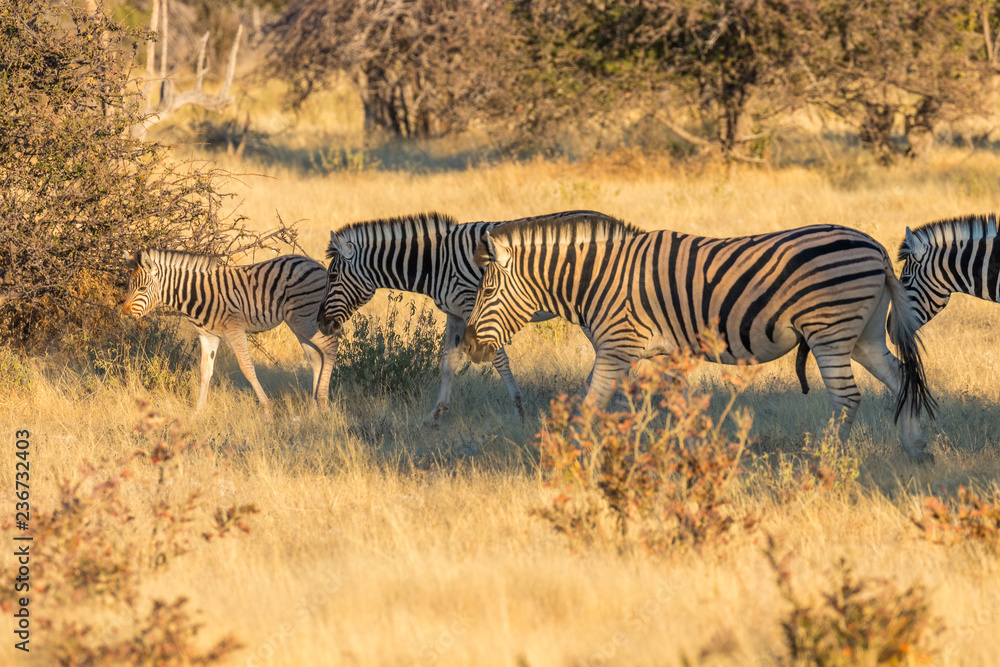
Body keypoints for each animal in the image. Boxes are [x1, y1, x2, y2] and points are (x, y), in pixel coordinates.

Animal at [122, 249, 339, 417]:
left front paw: (267, 410)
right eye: (128, 286)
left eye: (142, 288)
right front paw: (198, 412)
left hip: (305, 319)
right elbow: (205, 371)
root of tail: (316, 264)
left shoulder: (235, 329)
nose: (124, 315)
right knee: (315, 357)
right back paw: (313, 409)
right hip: (298, 323)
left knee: (330, 345)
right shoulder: (207, 336)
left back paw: (324, 404)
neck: (196, 294)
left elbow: (247, 368)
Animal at [316, 210, 613, 425]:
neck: (436, 264)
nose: (320, 323)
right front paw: (435, 414)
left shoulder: (474, 306)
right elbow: (448, 361)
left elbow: (499, 359)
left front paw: (519, 410)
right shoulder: (455, 314)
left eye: (332, 275)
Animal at [462, 216, 937, 462]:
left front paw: (570, 458)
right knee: (901, 377)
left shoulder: (616, 347)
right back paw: (916, 450)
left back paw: (825, 462)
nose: (467, 346)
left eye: (487, 291)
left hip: (829, 333)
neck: (599, 278)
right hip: (864, 336)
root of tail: (875, 246)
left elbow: (589, 406)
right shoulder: (665, 353)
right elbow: (673, 409)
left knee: (848, 398)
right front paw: (681, 458)